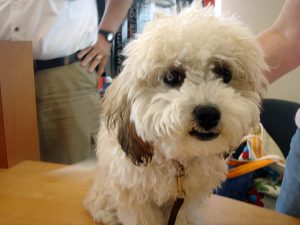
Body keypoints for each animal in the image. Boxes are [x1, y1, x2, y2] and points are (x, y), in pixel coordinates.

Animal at [84, 3, 268, 225]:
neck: (178, 162)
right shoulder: (135, 195)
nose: (208, 114)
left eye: (225, 73)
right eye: (172, 76)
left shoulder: (186, 199)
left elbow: (182, 215)